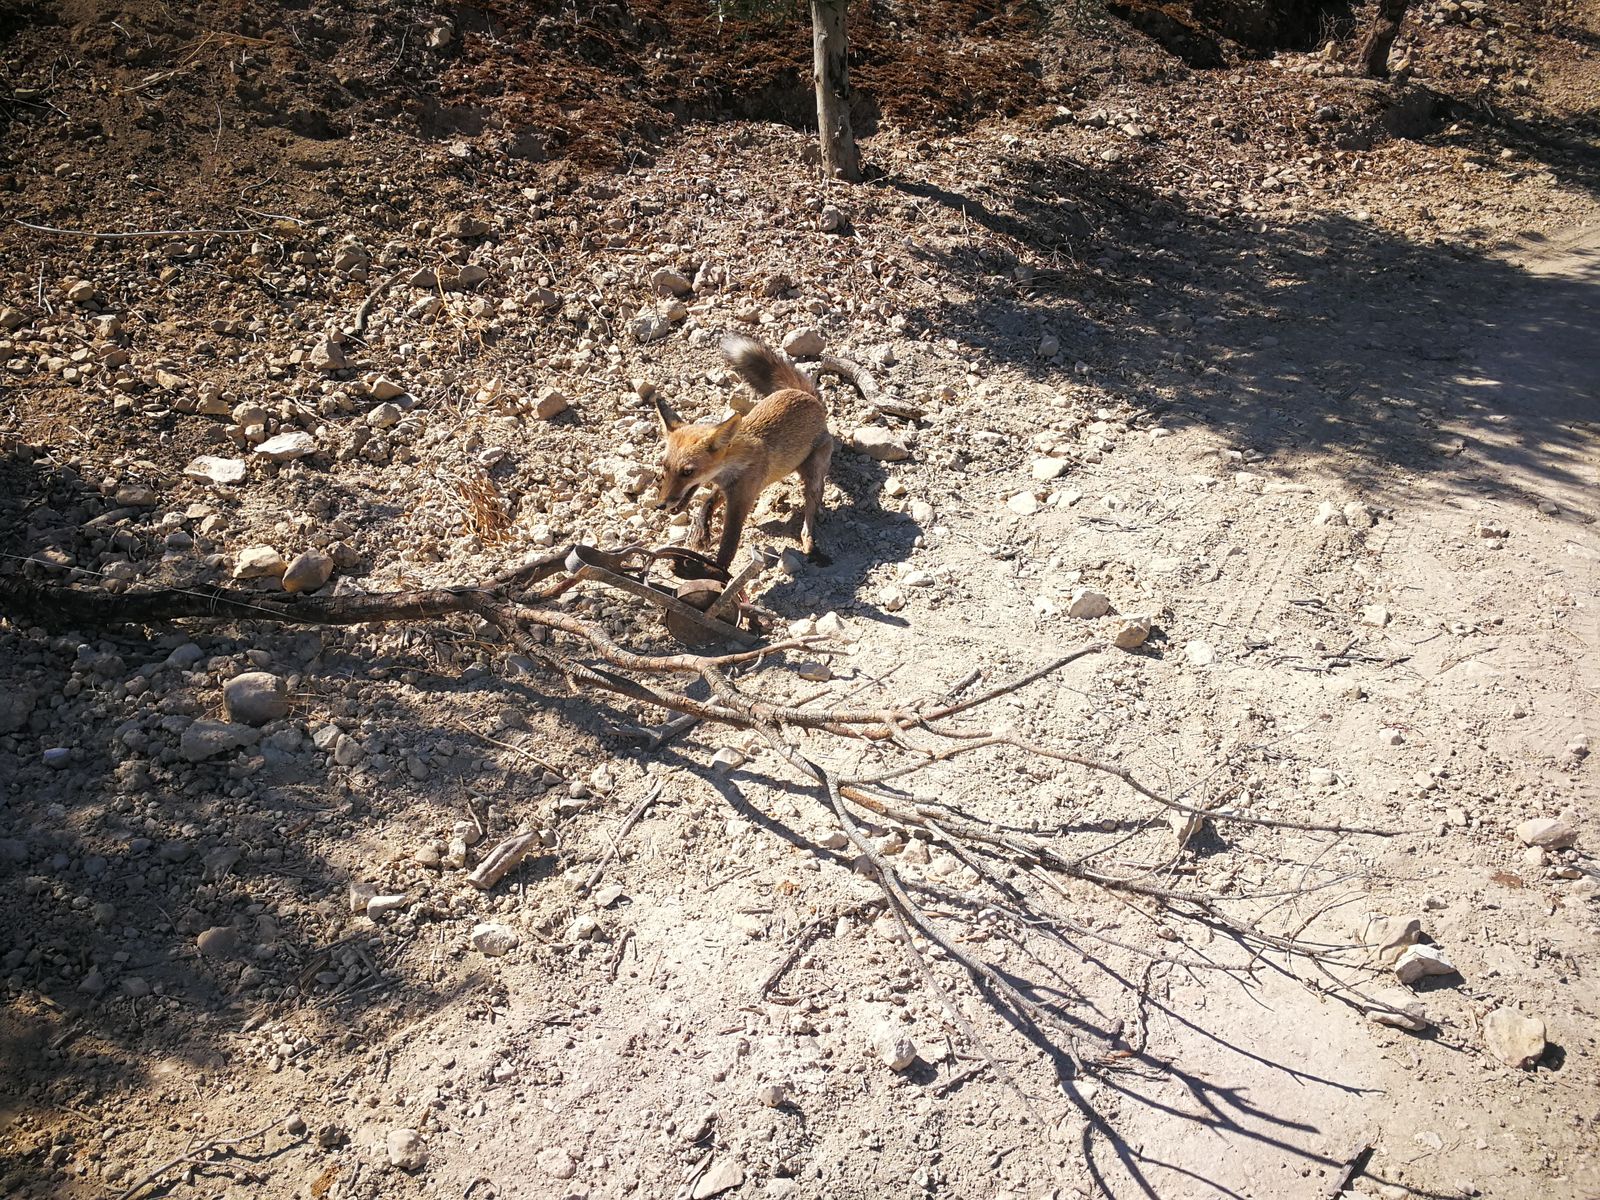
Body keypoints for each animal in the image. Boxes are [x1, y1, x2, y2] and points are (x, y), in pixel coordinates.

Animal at [651, 334, 833, 570]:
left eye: (687, 472)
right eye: (664, 468)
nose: (660, 505)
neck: (735, 463)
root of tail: (806, 396)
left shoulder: (741, 500)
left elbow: (728, 546)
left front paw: (715, 572)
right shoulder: (728, 488)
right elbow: (707, 502)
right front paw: (701, 533)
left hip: (814, 473)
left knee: (810, 512)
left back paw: (811, 544)